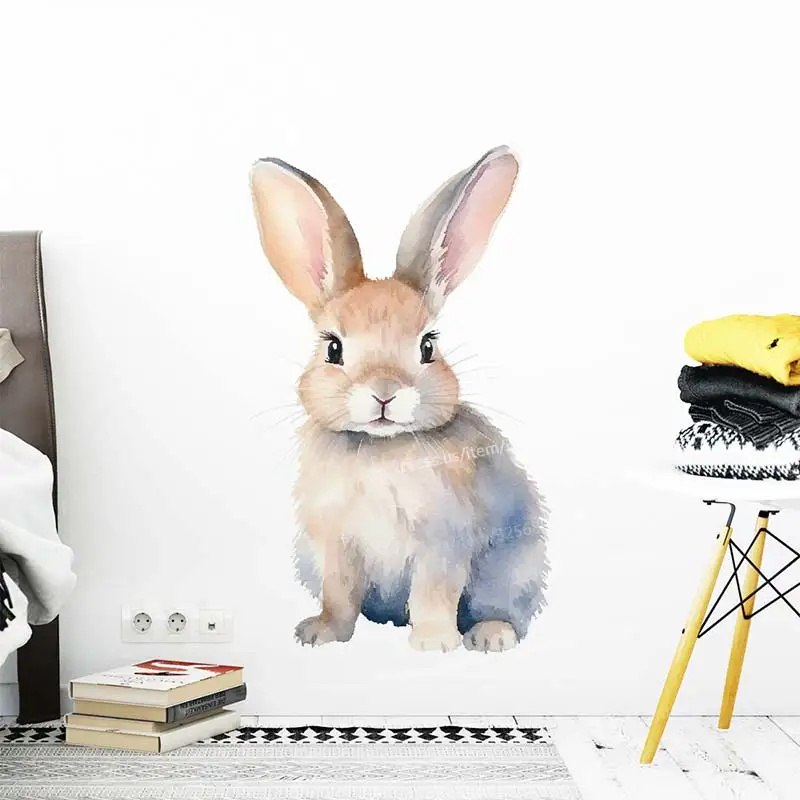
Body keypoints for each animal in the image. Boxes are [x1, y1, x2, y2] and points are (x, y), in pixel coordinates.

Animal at [249, 146, 549, 653]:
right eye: (333, 348)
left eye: (428, 346)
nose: (385, 393)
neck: (379, 448)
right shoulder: (337, 546)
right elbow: (339, 595)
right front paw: (321, 634)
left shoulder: (442, 543)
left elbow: (433, 593)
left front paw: (434, 644)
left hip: (511, 570)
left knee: (504, 609)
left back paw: (490, 636)